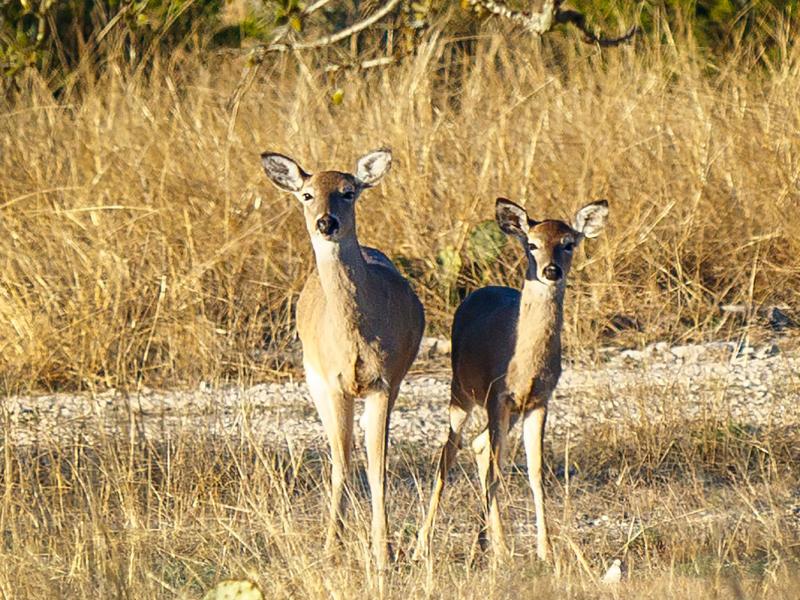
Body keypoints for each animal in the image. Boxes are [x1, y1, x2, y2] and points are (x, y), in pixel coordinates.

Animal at [260, 148, 424, 568]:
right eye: (306, 194)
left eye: (349, 192)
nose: (326, 222)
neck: (355, 340)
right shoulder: (334, 383)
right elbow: (343, 462)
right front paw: (333, 546)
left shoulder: (384, 382)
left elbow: (377, 466)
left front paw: (383, 553)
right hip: (313, 379)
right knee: (339, 457)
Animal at [416, 197, 608, 564]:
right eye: (531, 244)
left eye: (569, 244)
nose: (551, 271)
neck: (524, 360)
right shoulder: (497, 396)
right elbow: (495, 469)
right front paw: (504, 551)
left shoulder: (538, 401)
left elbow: (535, 472)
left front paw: (545, 551)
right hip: (460, 392)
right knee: (449, 453)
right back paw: (424, 544)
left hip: (507, 411)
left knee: (479, 446)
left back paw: (482, 541)